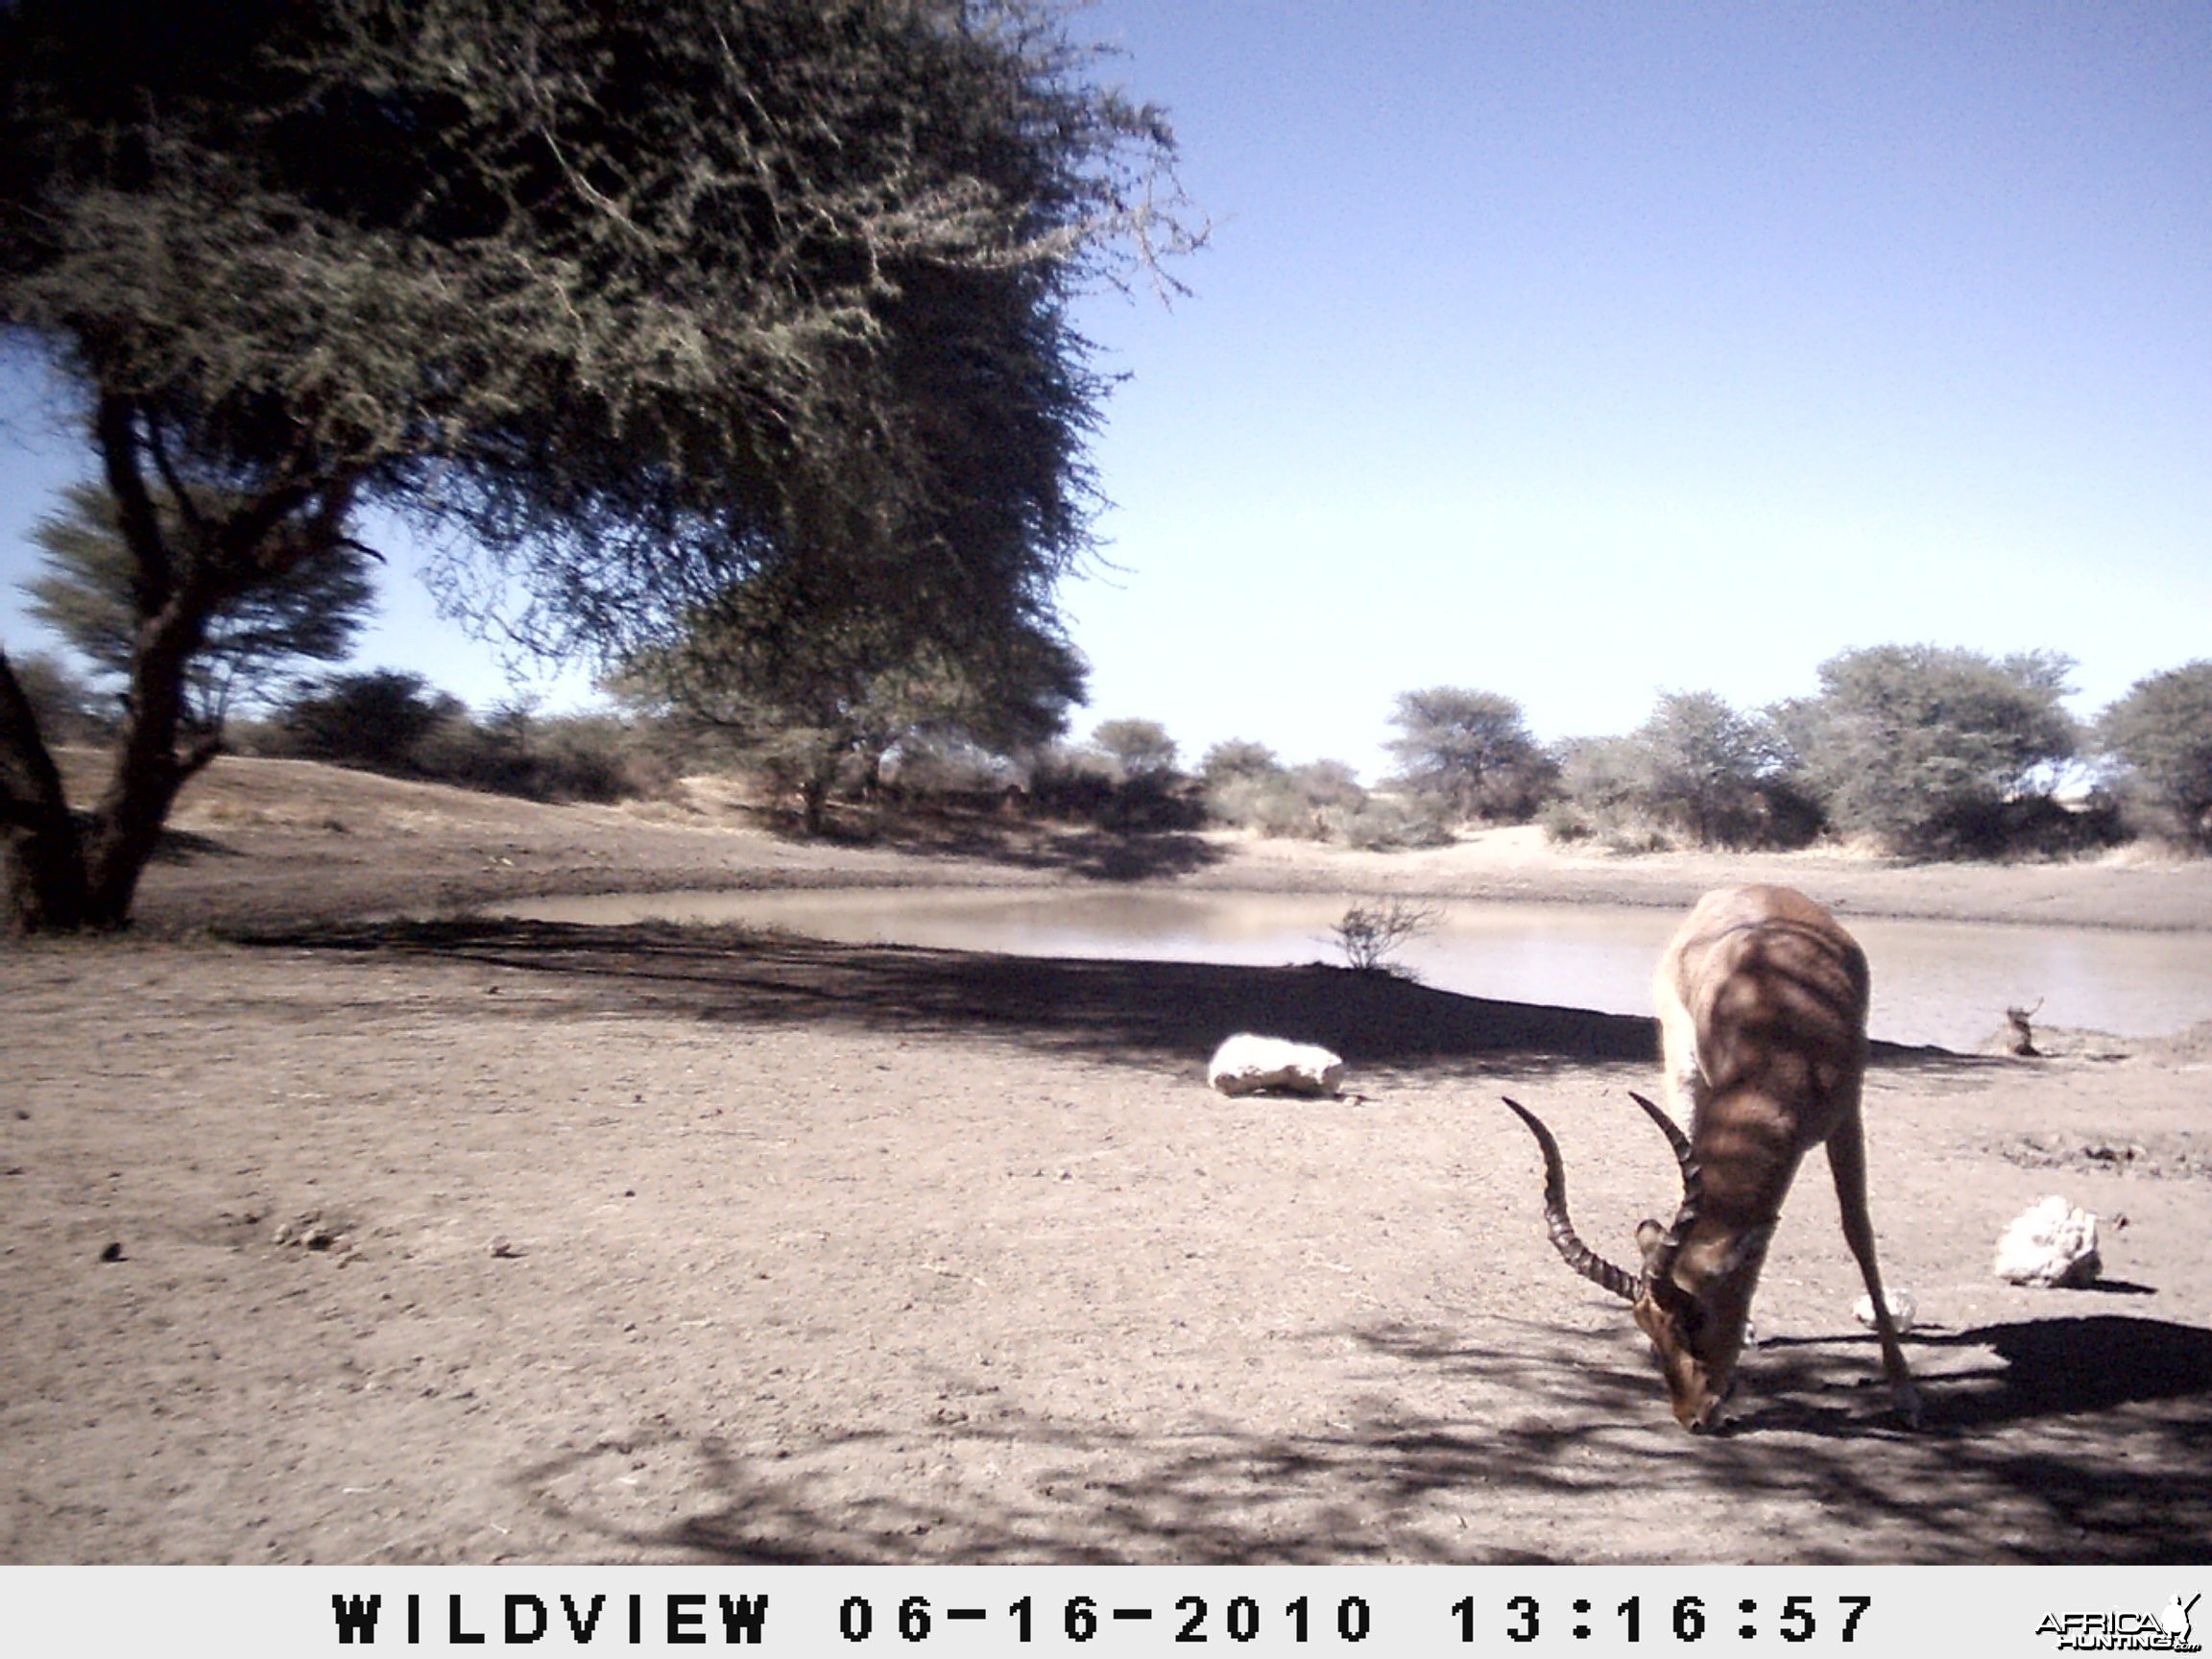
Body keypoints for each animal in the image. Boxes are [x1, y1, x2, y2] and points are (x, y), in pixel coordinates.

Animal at [1503, 889, 1919, 1432]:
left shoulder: (1847, 1116)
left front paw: (1905, 1392)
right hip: (1682, 1076)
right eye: (1644, 1325)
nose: (1692, 1417)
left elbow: (1859, 1232)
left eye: (1697, 1316)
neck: (1782, 1031)